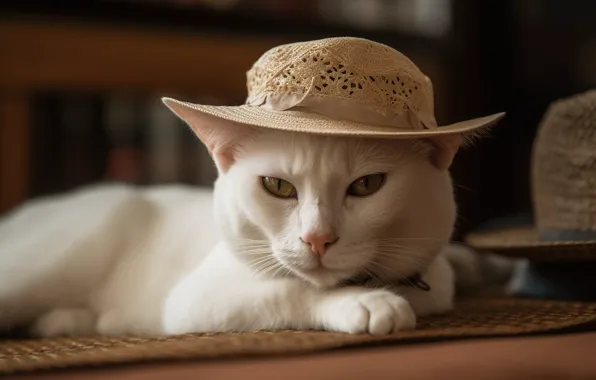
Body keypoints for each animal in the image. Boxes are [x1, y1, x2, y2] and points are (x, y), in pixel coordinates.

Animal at [0, 101, 508, 338]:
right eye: (278, 187)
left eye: (367, 185)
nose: (317, 238)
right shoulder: (196, 299)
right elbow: (290, 291)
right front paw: (365, 303)